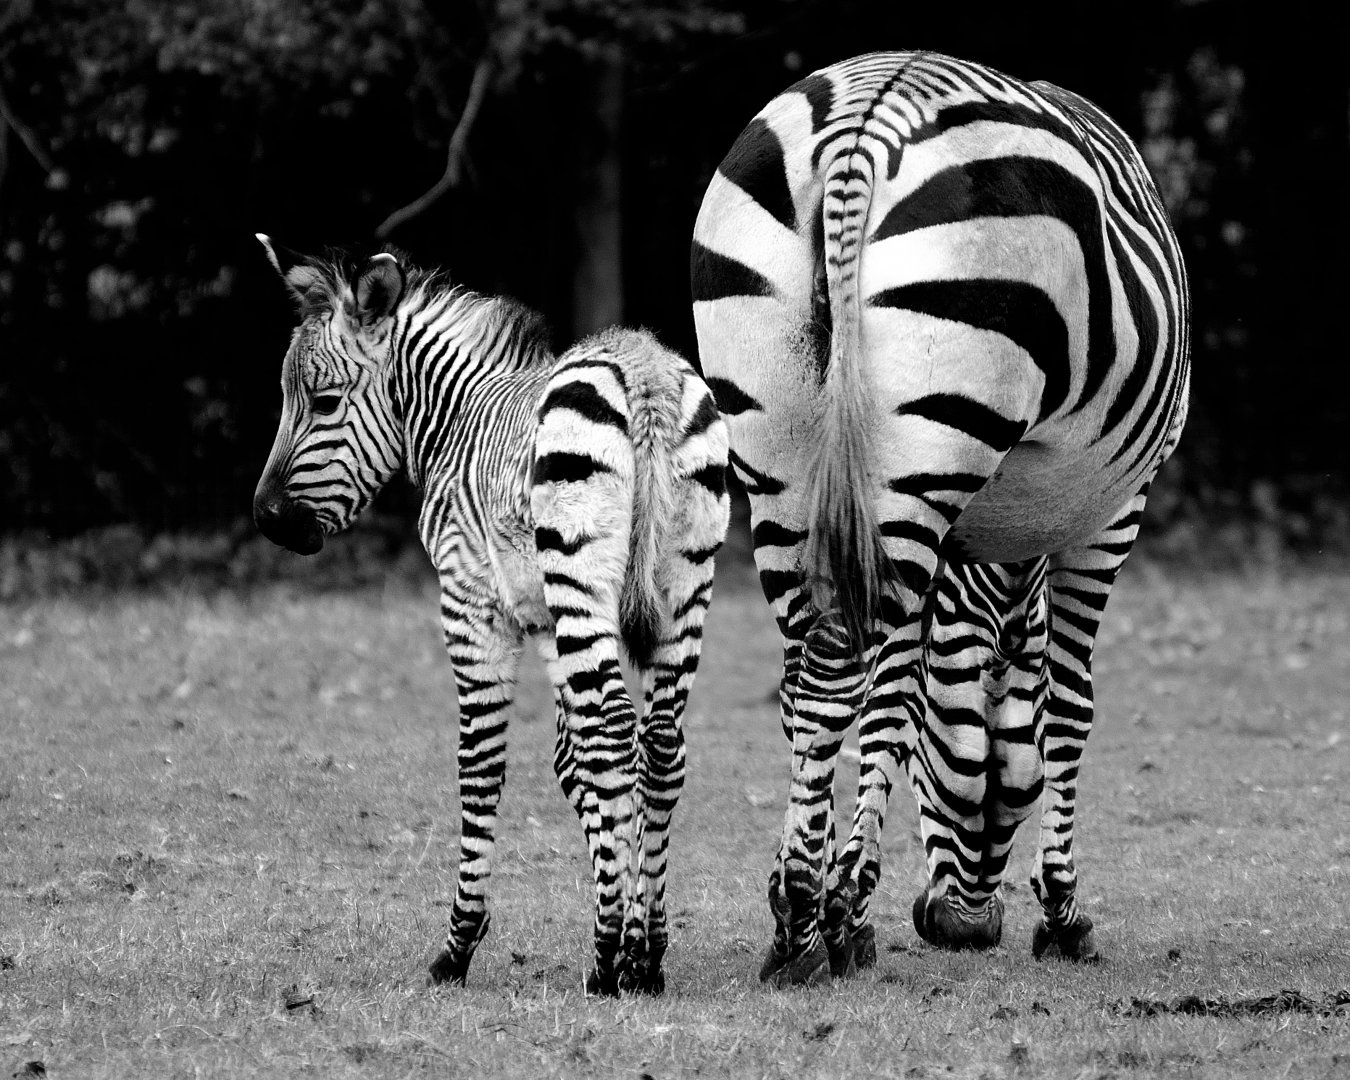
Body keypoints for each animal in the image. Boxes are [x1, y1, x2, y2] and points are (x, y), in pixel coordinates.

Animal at [252, 236, 730, 994]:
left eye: (324, 403)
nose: (267, 520)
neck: (455, 420)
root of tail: (646, 369)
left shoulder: (471, 600)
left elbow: (482, 761)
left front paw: (460, 945)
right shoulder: (548, 622)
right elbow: (572, 761)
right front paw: (621, 924)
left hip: (582, 566)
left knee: (615, 730)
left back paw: (610, 963)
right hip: (682, 582)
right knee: (656, 743)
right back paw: (647, 958)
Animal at [691, 51, 1189, 985]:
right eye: (1002, 784)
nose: (964, 928)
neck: (998, 562)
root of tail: (868, 117)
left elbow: (896, 697)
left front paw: (851, 904)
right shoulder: (1111, 511)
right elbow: (1068, 702)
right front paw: (1064, 915)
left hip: (776, 450)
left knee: (809, 678)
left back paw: (802, 919)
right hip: (937, 420)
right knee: (835, 670)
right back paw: (805, 925)